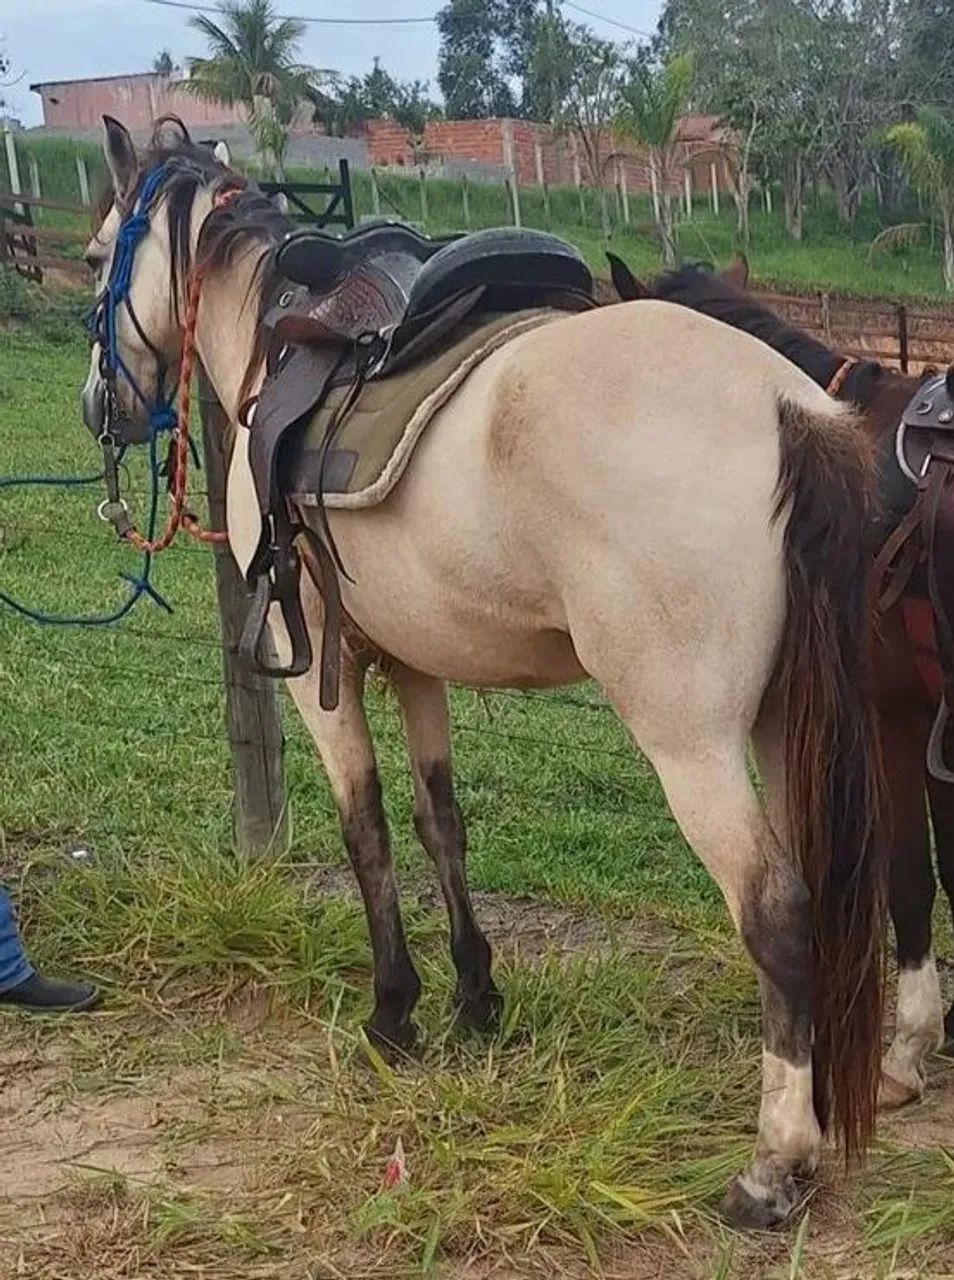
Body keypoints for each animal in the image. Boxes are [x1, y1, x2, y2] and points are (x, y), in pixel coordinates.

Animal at [80, 116, 886, 1229]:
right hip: (788, 726)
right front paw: (475, 995)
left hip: (695, 746)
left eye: (92, 258)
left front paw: (394, 1013)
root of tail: (782, 407)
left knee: (778, 913)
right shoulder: (416, 663)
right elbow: (440, 821)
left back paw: (776, 1164)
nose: (100, 407)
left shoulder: (318, 666)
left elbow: (367, 827)